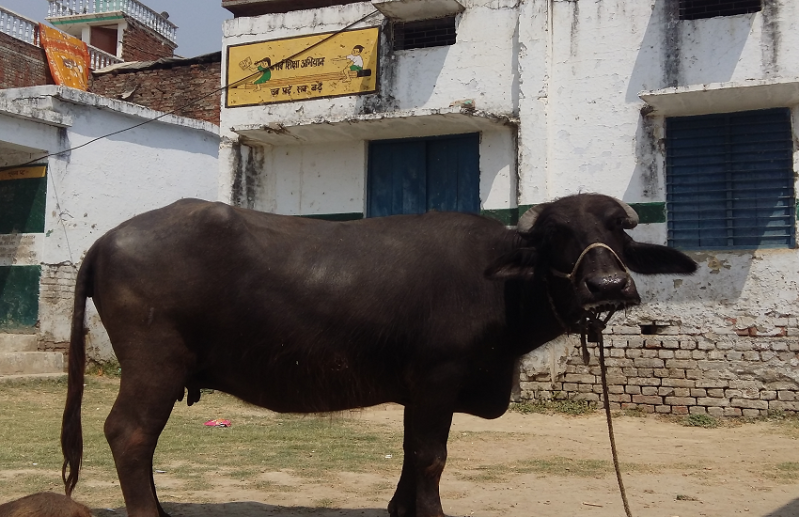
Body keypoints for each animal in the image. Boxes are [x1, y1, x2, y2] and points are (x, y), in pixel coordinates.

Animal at [62, 193, 696, 517]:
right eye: (557, 235)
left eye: (618, 232)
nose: (609, 285)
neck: (502, 285)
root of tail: (105, 240)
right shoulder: (438, 377)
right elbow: (432, 458)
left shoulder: (420, 391)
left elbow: (413, 455)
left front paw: (399, 509)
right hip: (155, 364)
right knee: (130, 433)